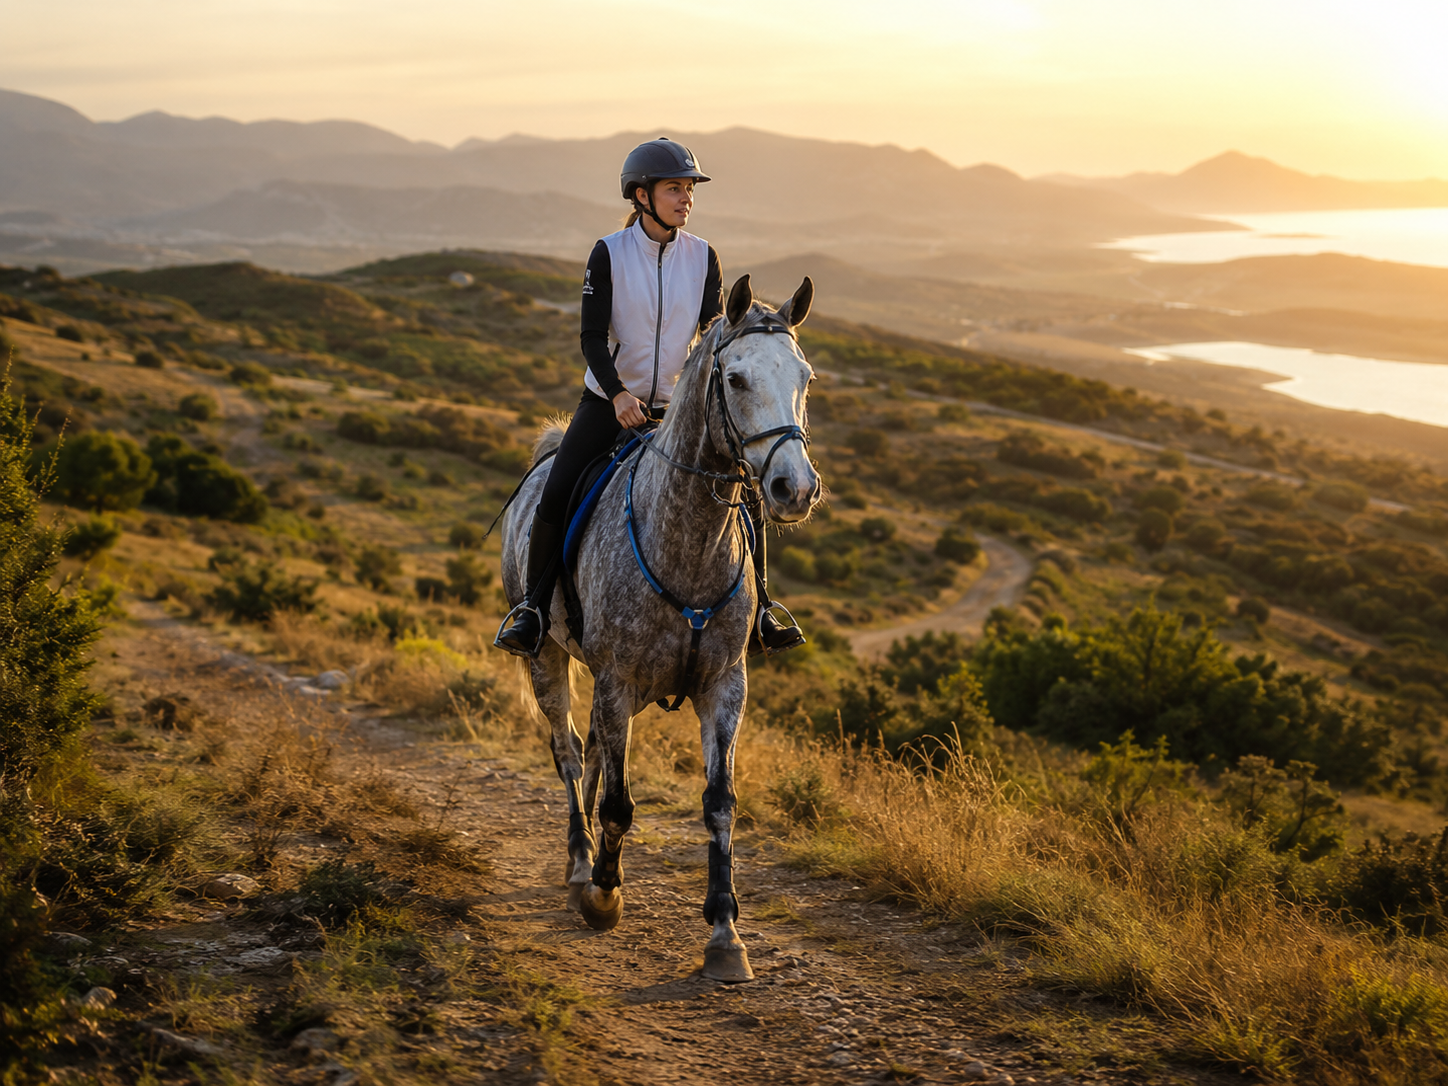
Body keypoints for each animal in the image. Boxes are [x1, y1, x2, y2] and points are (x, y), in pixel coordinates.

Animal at [498, 273, 821, 982]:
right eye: (735, 378)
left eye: (804, 376)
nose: (795, 488)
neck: (689, 545)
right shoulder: (618, 682)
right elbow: (620, 804)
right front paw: (603, 896)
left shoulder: (724, 688)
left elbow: (720, 803)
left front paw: (726, 933)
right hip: (548, 662)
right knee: (569, 753)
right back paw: (579, 864)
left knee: (593, 752)